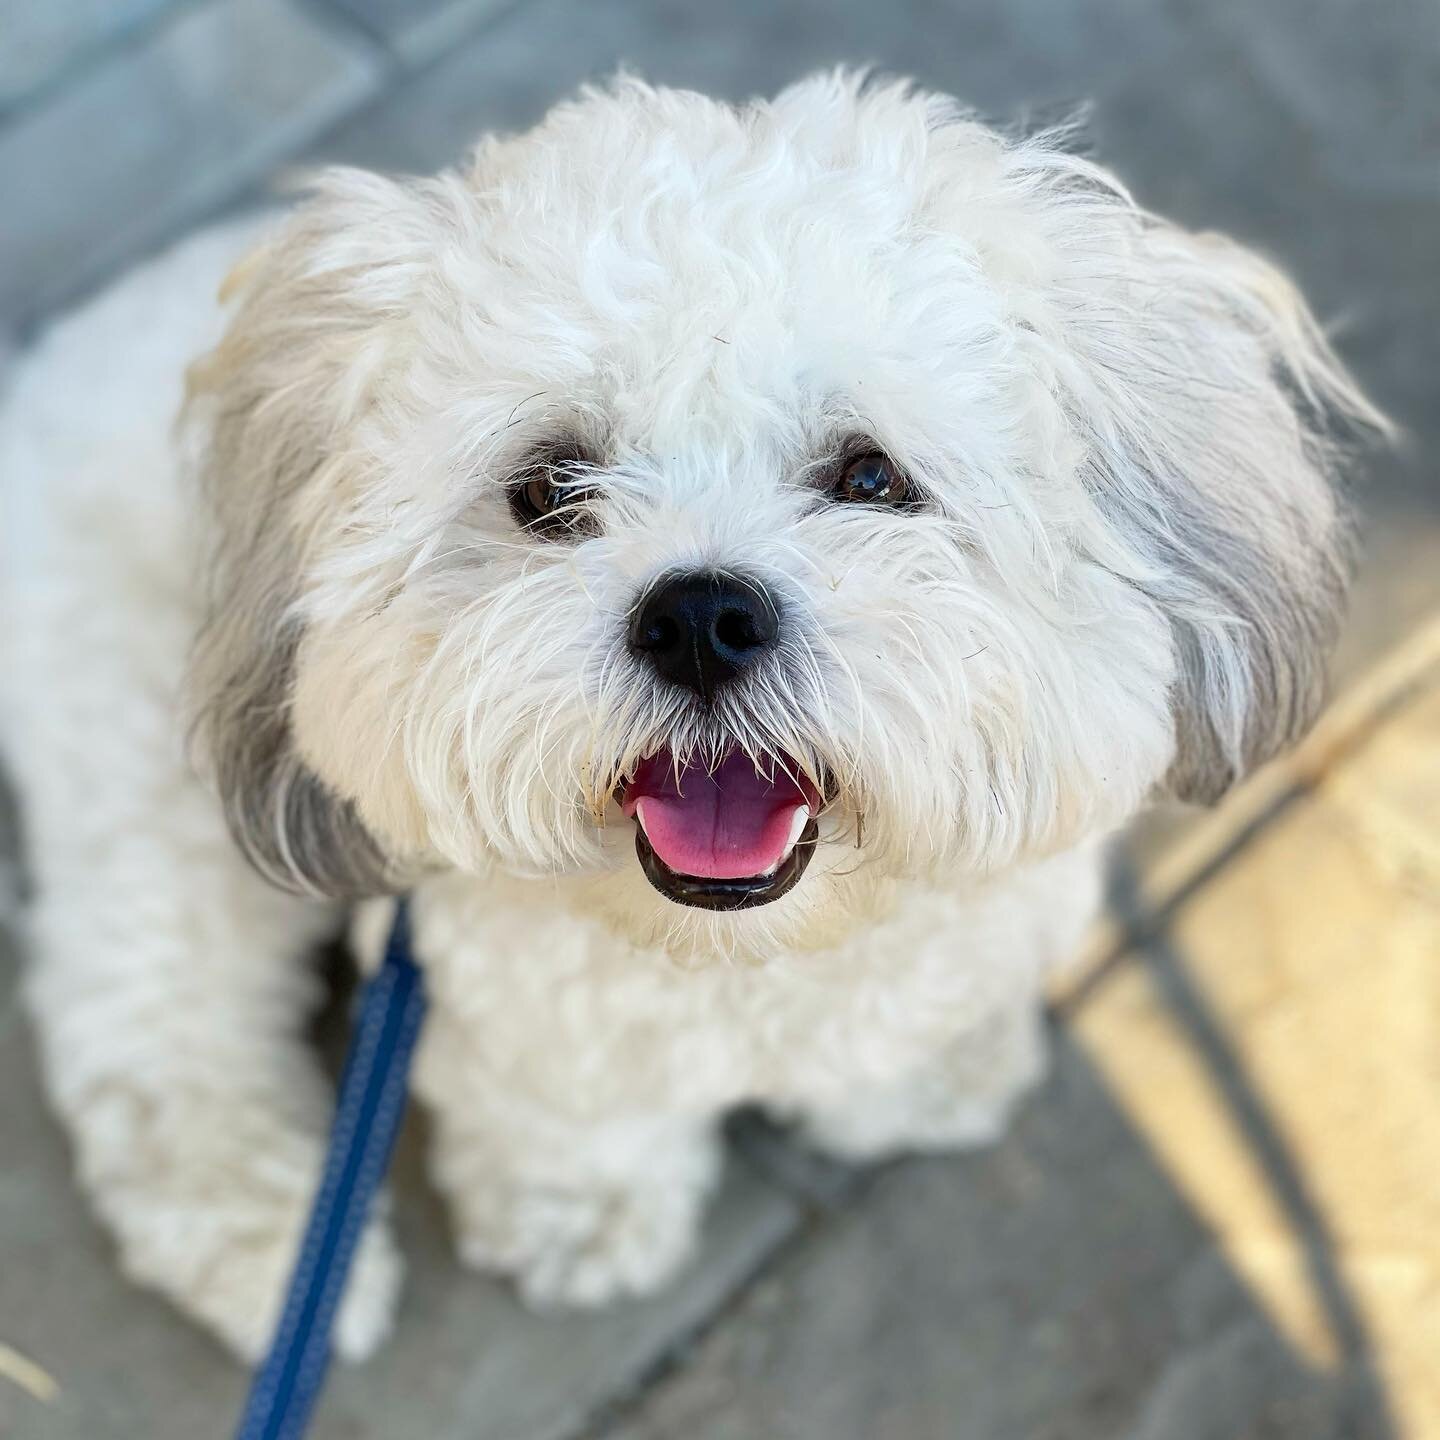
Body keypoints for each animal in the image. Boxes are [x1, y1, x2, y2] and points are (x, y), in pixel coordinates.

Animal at [0, 75, 1382, 1359]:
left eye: (870, 475)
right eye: (550, 485)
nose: (702, 616)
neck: (748, 959)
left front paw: (923, 1080)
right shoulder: (497, 995)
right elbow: (566, 1110)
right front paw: (583, 1212)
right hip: (153, 770)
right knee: (147, 1034)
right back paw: (278, 1262)